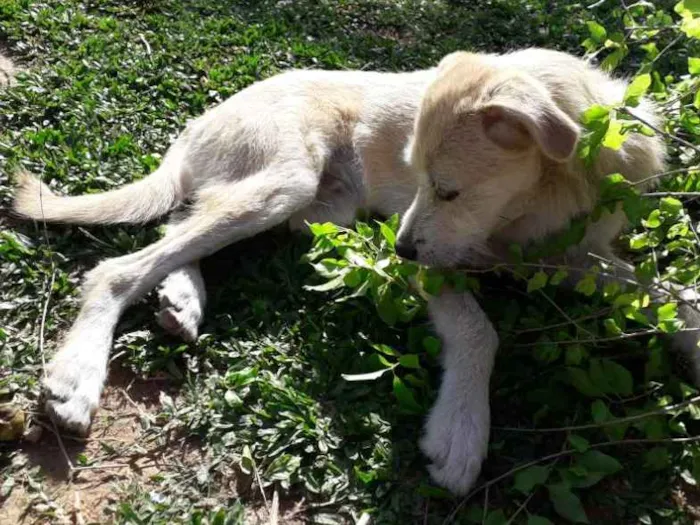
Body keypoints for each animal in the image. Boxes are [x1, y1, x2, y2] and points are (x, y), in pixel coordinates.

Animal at [10, 47, 688, 494]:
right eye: (422, 180)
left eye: (449, 190)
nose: (400, 252)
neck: (550, 190)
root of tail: (199, 121)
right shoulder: (440, 262)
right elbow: (479, 331)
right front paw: (462, 429)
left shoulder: (566, 257)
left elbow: (677, 297)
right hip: (284, 182)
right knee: (121, 266)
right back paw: (78, 375)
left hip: (311, 208)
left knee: (178, 226)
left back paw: (182, 297)